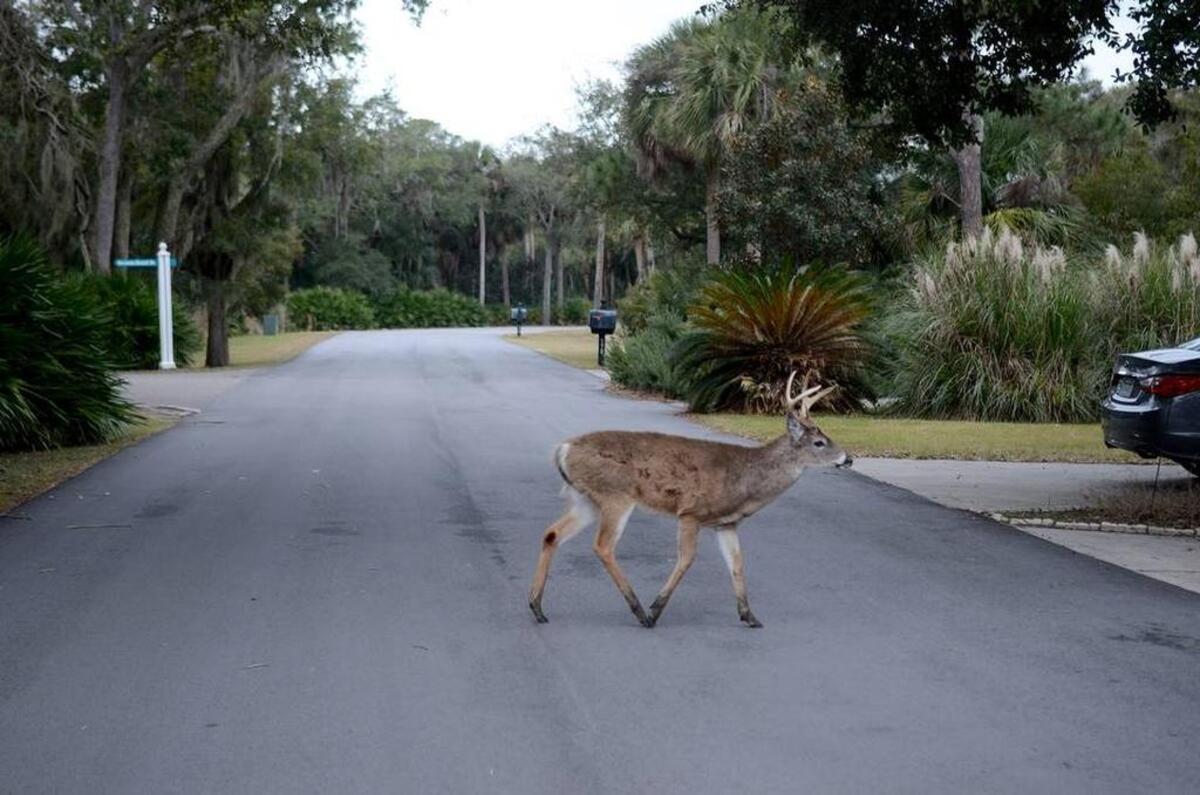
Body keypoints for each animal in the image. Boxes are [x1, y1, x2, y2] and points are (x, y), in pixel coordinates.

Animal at [528, 372, 852, 629]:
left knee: (551, 533)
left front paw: (750, 616)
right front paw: (656, 609)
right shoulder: (691, 512)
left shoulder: (726, 524)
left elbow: (737, 563)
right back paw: (640, 612)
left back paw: (537, 607)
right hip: (615, 495)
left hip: (587, 500)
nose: (848, 458)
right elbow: (686, 559)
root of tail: (563, 449)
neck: (744, 481)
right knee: (603, 546)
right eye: (819, 442)